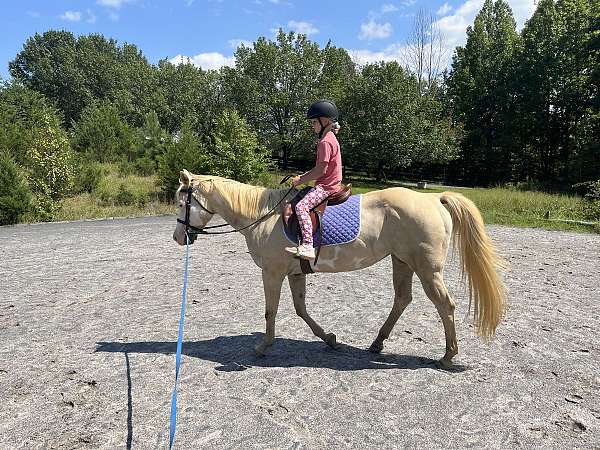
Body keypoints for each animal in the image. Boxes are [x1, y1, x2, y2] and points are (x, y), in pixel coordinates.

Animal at [172, 171, 506, 368]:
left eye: (180, 203)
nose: (178, 237)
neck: (262, 216)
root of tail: (434, 198)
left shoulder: (272, 272)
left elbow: (271, 311)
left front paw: (263, 346)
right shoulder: (295, 273)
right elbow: (301, 310)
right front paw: (329, 339)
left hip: (427, 270)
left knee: (444, 305)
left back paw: (448, 356)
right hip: (402, 262)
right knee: (402, 299)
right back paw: (377, 343)